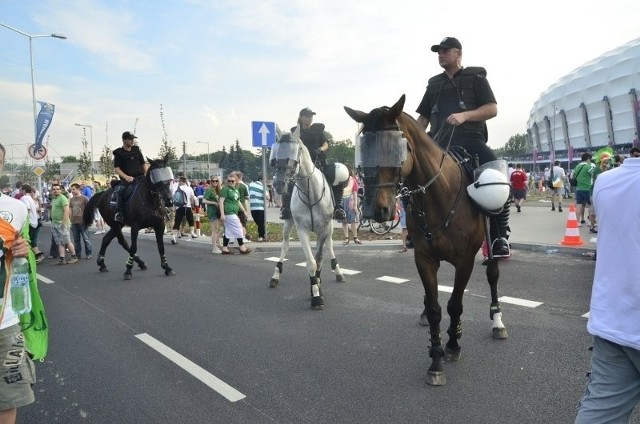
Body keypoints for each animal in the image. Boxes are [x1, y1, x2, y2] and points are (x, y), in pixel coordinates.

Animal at [268, 124, 344, 310]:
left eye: (295, 152)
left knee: (330, 245)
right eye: (275, 156)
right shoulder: (302, 229)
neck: (311, 192)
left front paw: (317, 287)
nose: (279, 184)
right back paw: (275, 275)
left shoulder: (324, 228)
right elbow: (311, 262)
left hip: (329, 227)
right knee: (285, 246)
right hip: (288, 223)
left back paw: (337, 270)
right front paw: (315, 294)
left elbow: (320, 258)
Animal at [342, 94, 508, 386]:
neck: (440, 196)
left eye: (394, 148)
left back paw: (497, 320)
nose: (376, 210)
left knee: (493, 275)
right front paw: (436, 358)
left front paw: (452, 345)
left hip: (491, 244)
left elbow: (455, 304)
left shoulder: (465, 261)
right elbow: (434, 308)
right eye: (364, 151)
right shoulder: (425, 259)